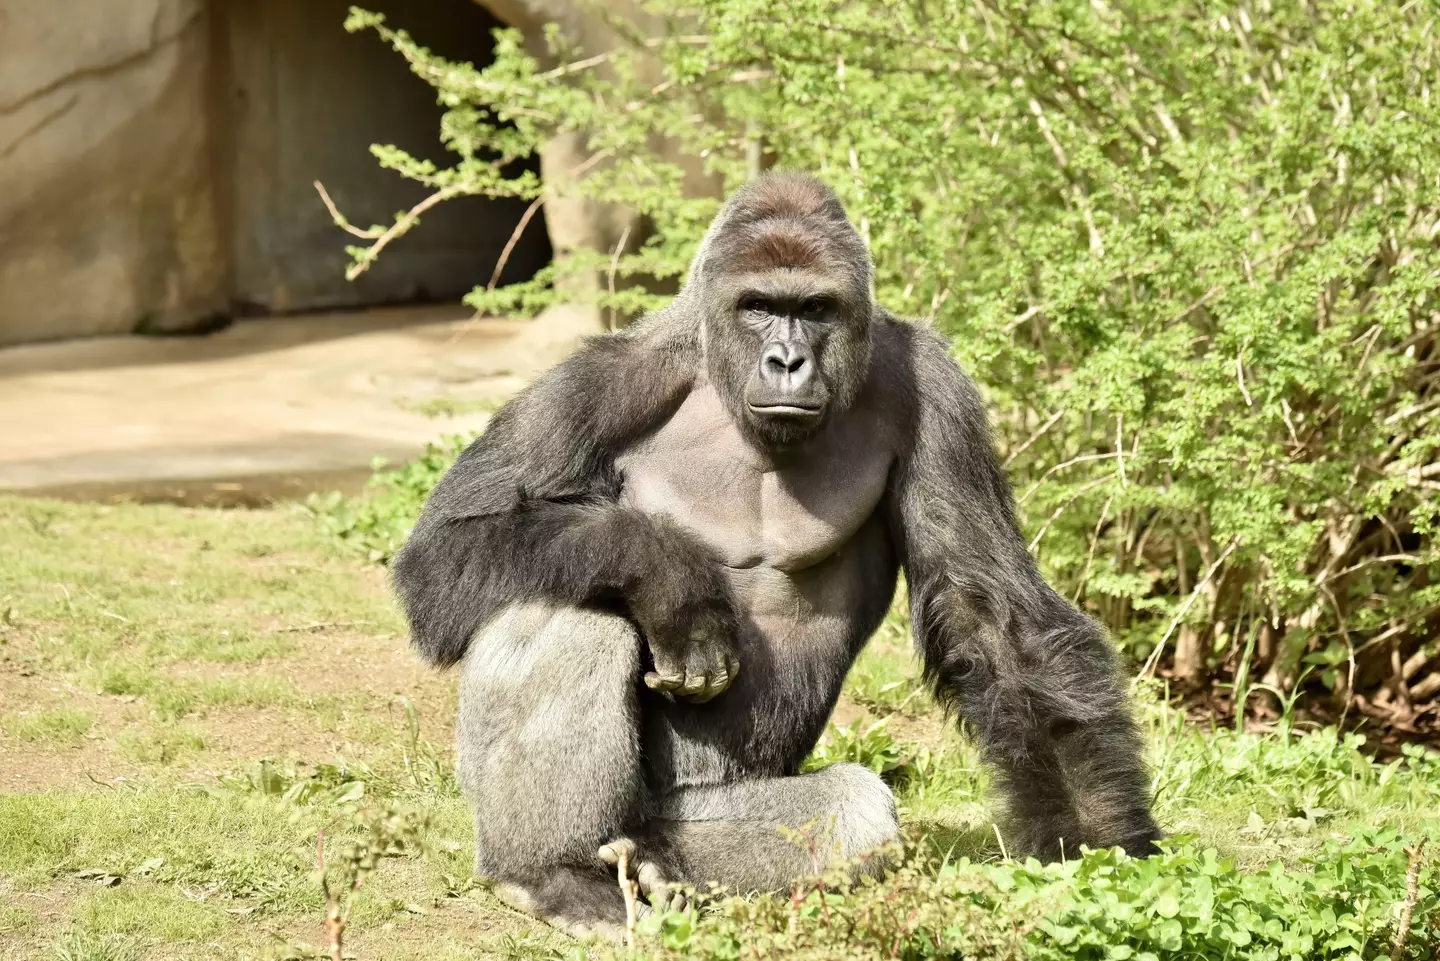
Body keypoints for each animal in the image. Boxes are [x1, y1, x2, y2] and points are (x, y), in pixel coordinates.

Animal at [394, 170, 1157, 933]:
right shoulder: (600, 380)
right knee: (564, 603)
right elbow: (444, 546)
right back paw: (550, 871)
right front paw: (669, 576)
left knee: (848, 811)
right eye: (759, 306)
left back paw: (656, 865)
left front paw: (1099, 844)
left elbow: (992, 615)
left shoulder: (939, 395)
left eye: (814, 308)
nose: (787, 360)